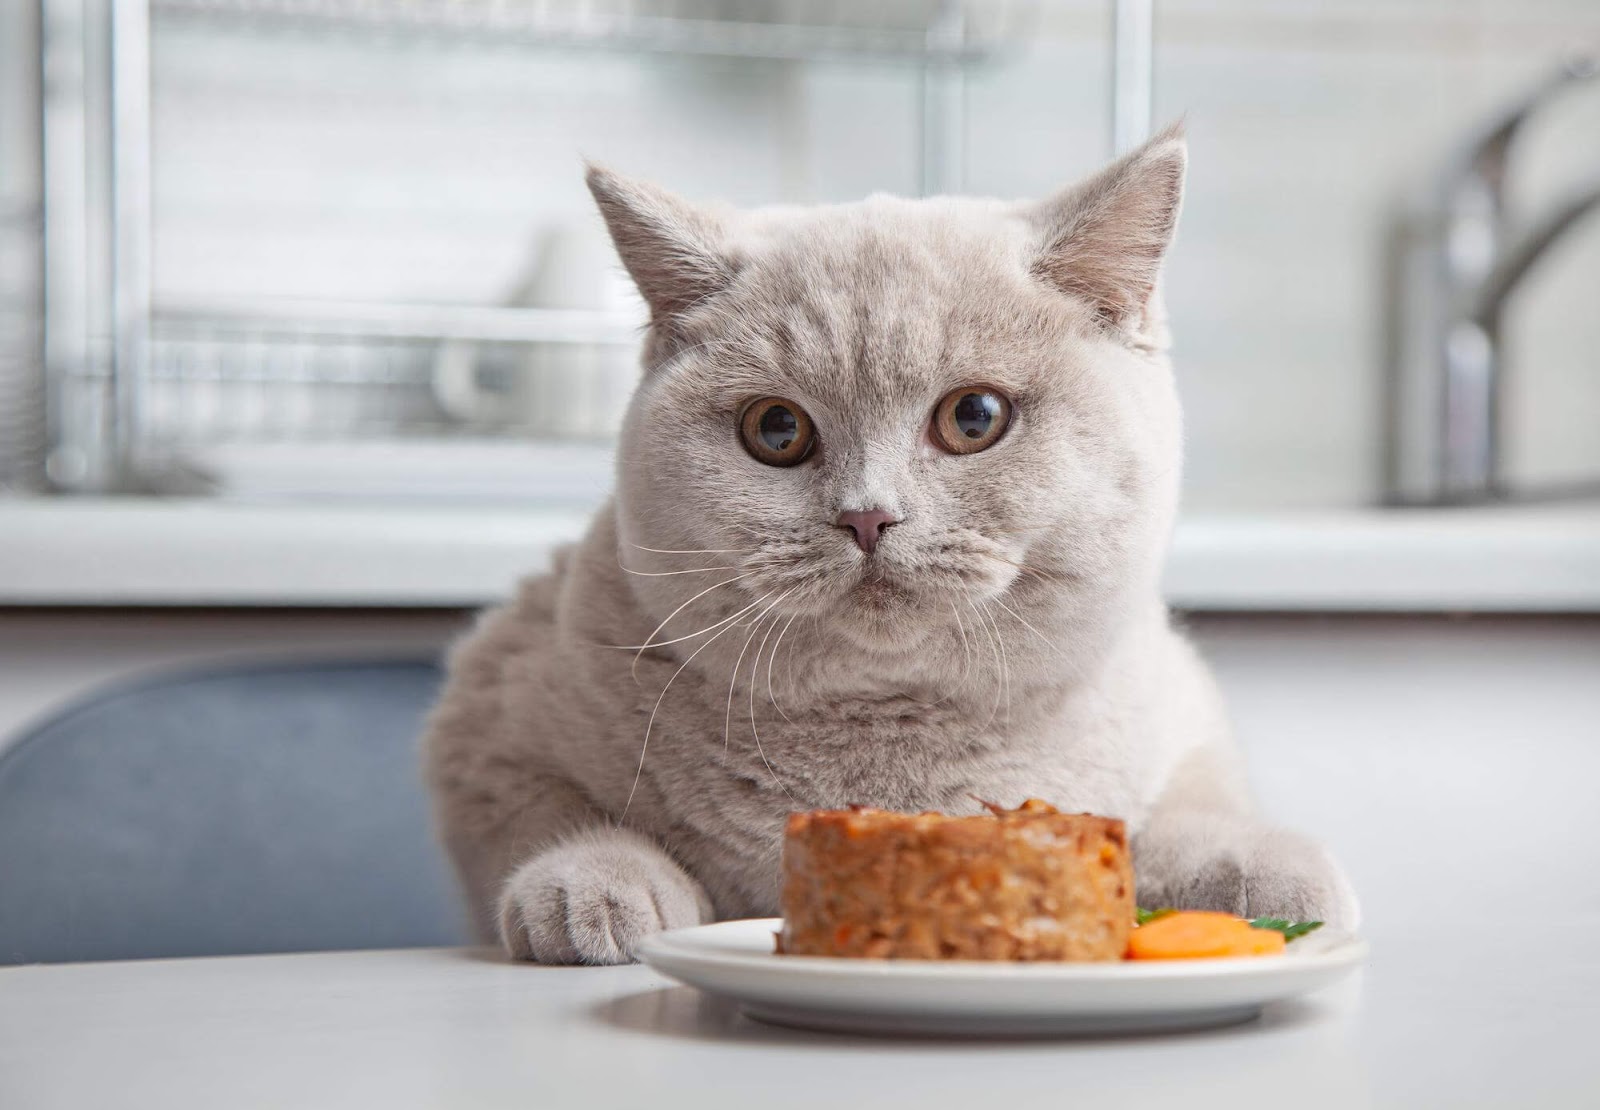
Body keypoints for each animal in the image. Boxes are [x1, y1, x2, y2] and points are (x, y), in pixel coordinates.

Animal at [419, 126, 1356, 966]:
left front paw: (1267, 879)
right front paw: (591, 888)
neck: (892, 741)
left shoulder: (1184, 719)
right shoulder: (487, 719)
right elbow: (547, 812)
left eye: (974, 417)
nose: (868, 517)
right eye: (777, 430)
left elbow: (1185, 815)